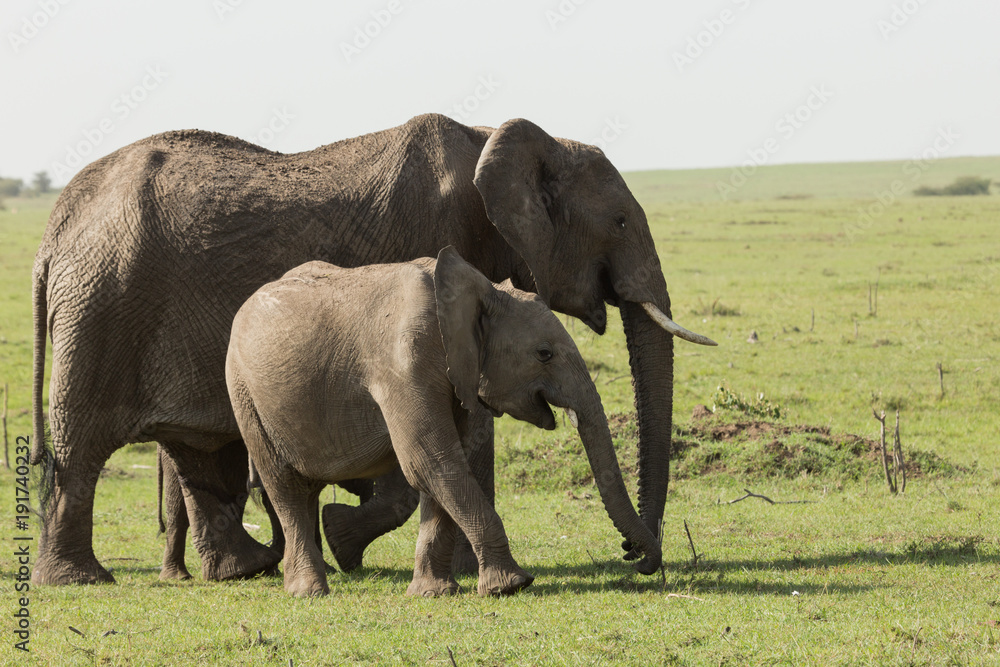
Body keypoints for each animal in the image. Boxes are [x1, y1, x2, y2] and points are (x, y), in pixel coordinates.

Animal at [229, 248, 664, 596]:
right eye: (544, 354)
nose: (633, 556)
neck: (475, 291)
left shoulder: (457, 373)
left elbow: (446, 466)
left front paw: (435, 594)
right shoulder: (403, 363)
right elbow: (431, 461)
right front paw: (511, 586)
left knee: (306, 489)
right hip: (243, 393)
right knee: (285, 487)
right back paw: (309, 593)